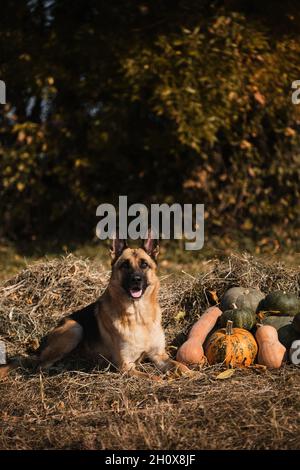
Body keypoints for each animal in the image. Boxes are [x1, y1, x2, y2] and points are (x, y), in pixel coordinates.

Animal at [1, 233, 190, 380]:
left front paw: (192, 374)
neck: (139, 316)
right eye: (125, 265)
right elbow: (154, 378)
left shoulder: (159, 356)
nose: (136, 280)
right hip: (75, 328)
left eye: (144, 264)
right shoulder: (126, 367)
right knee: (40, 366)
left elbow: (180, 366)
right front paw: (164, 380)